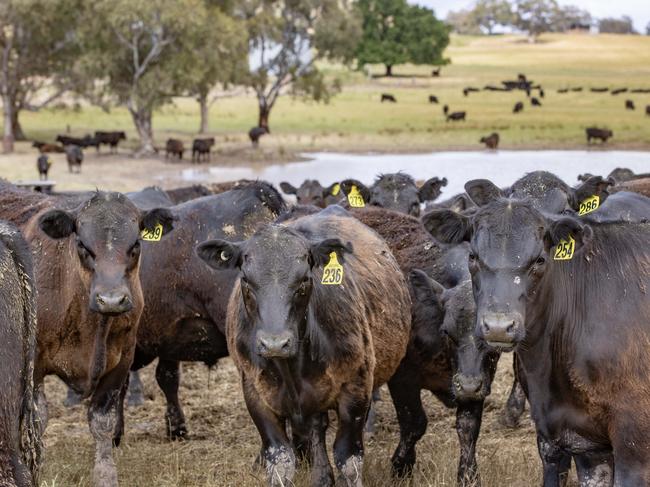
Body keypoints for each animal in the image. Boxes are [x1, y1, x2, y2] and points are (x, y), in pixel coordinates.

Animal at [0, 183, 173, 487]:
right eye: (82, 245)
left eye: (136, 245)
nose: (111, 300)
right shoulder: (35, 365)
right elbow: (38, 419)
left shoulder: (122, 360)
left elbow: (102, 421)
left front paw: (106, 475)